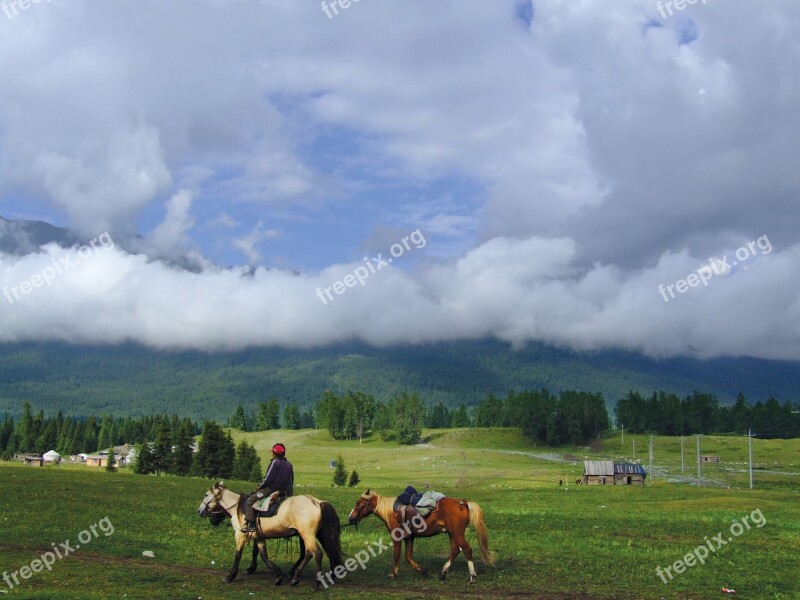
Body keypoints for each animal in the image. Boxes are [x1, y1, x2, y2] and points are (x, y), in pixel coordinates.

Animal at [198, 480, 342, 588]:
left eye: (205, 495)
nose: (200, 511)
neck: (237, 508)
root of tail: (316, 501)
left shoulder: (239, 535)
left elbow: (238, 555)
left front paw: (230, 576)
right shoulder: (259, 537)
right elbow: (263, 555)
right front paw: (277, 575)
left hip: (307, 535)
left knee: (317, 553)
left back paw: (315, 583)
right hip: (312, 535)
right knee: (313, 553)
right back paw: (298, 577)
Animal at [348, 490, 494, 584]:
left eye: (358, 503)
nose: (350, 518)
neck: (391, 511)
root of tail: (462, 503)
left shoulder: (397, 537)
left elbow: (397, 555)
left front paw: (393, 574)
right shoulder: (410, 538)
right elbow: (408, 557)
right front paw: (423, 571)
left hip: (457, 534)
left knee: (467, 550)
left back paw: (472, 576)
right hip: (452, 534)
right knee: (455, 550)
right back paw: (443, 573)